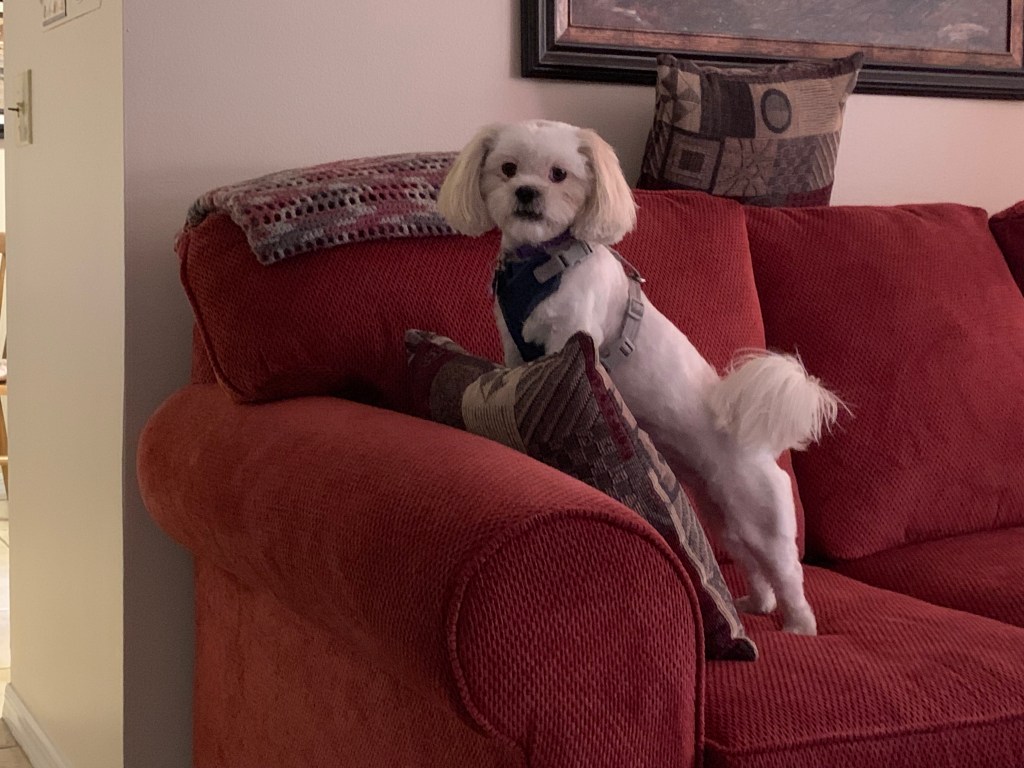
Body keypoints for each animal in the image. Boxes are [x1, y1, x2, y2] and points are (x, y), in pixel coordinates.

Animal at [437, 119, 841, 635]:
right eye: (507, 169)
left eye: (559, 174)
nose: (527, 192)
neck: (542, 260)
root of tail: (752, 442)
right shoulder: (513, 344)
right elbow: (512, 364)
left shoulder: (570, 333)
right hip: (727, 518)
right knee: (753, 565)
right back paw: (756, 602)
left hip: (763, 517)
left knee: (787, 573)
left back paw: (798, 626)